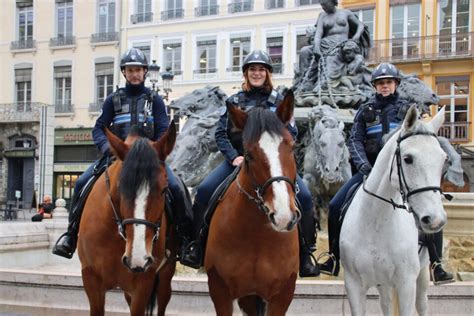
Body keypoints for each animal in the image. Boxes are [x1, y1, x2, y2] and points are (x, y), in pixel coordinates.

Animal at [78, 123, 178, 316]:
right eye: (120, 188)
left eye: (164, 190)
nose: (137, 257)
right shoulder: (91, 279)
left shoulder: (143, 282)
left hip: (165, 275)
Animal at [205, 90, 300, 314]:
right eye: (248, 155)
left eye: (292, 148)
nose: (283, 216)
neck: (257, 236)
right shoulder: (220, 290)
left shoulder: (282, 295)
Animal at [340, 106, 448, 316]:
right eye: (408, 159)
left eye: (443, 160)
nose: (435, 220)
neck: (376, 222)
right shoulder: (354, 285)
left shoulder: (406, 284)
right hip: (384, 284)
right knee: (386, 305)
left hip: (421, 276)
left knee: (422, 304)